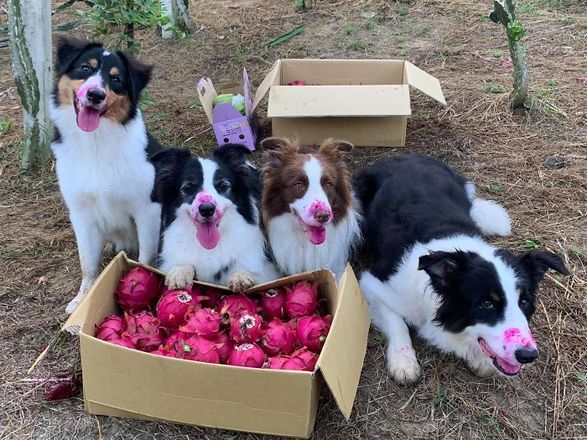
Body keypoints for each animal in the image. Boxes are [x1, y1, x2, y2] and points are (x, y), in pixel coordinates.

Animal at [152, 143, 280, 290]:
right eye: (188, 187)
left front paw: (239, 275)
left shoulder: (267, 270)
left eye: (222, 185)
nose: (207, 209)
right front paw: (179, 273)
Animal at [354, 156, 568, 384]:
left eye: (525, 301)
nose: (528, 355)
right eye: (487, 304)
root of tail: (407, 156)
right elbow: (397, 323)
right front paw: (403, 361)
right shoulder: (373, 282)